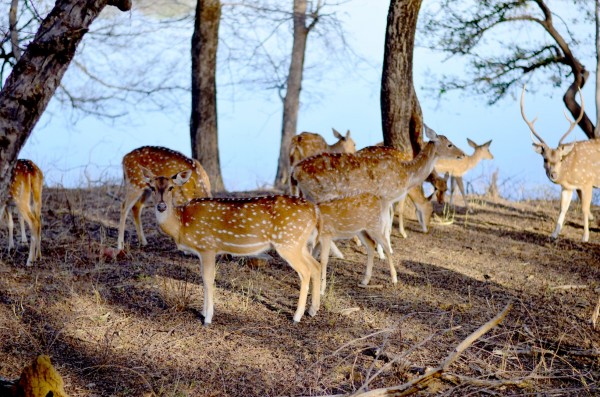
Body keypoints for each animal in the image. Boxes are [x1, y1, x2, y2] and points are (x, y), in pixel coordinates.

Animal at [141, 167, 322, 324]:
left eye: (171, 187)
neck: (181, 224)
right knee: (316, 265)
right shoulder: (202, 251)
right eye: (152, 187)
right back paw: (313, 310)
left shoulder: (207, 246)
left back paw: (297, 317)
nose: (161, 206)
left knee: (305, 271)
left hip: (288, 242)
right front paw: (203, 312)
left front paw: (207, 318)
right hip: (299, 244)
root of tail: (314, 211)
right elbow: (203, 278)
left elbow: (208, 279)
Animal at [516, 85, 596, 241]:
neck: (569, 175)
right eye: (545, 159)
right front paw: (553, 234)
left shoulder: (587, 182)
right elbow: (562, 208)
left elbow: (585, 209)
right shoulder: (567, 187)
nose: (553, 174)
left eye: (560, 159)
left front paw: (585, 237)